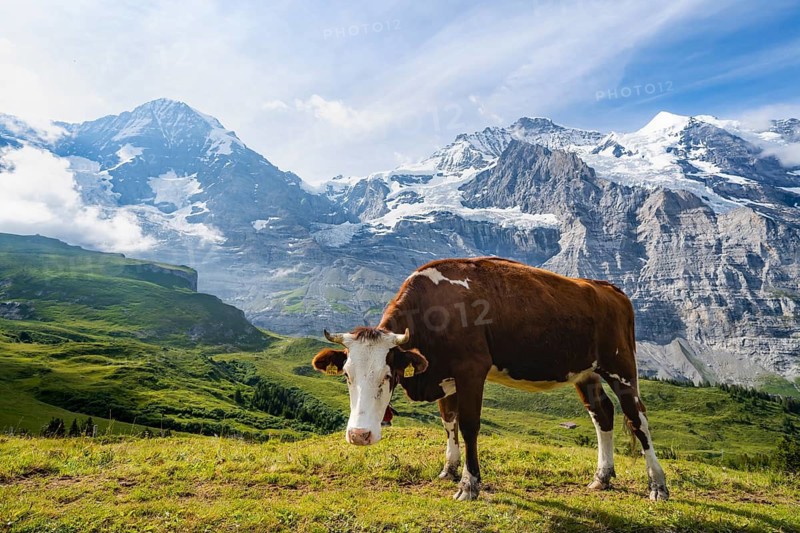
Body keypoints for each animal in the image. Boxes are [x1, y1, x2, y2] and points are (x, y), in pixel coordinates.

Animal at [312, 257, 669, 501]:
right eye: (347, 375)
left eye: (388, 375)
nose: (359, 435)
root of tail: (607, 287)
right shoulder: (444, 376)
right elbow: (449, 422)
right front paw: (449, 469)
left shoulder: (472, 369)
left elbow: (469, 425)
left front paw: (469, 484)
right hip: (586, 372)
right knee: (602, 415)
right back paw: (602, 477)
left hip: (621, 366)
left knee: (637, 417)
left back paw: (657, 485)